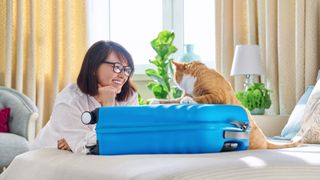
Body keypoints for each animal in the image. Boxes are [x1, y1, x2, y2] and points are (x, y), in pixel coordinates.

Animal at [155, 61, 300, 150]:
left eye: (175, 75)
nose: (172, 81)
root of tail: (266, 141)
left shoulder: (217, 95)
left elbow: (200, 98)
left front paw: (189, 100)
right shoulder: (181, 96)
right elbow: (171, 101)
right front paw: (156, 101)